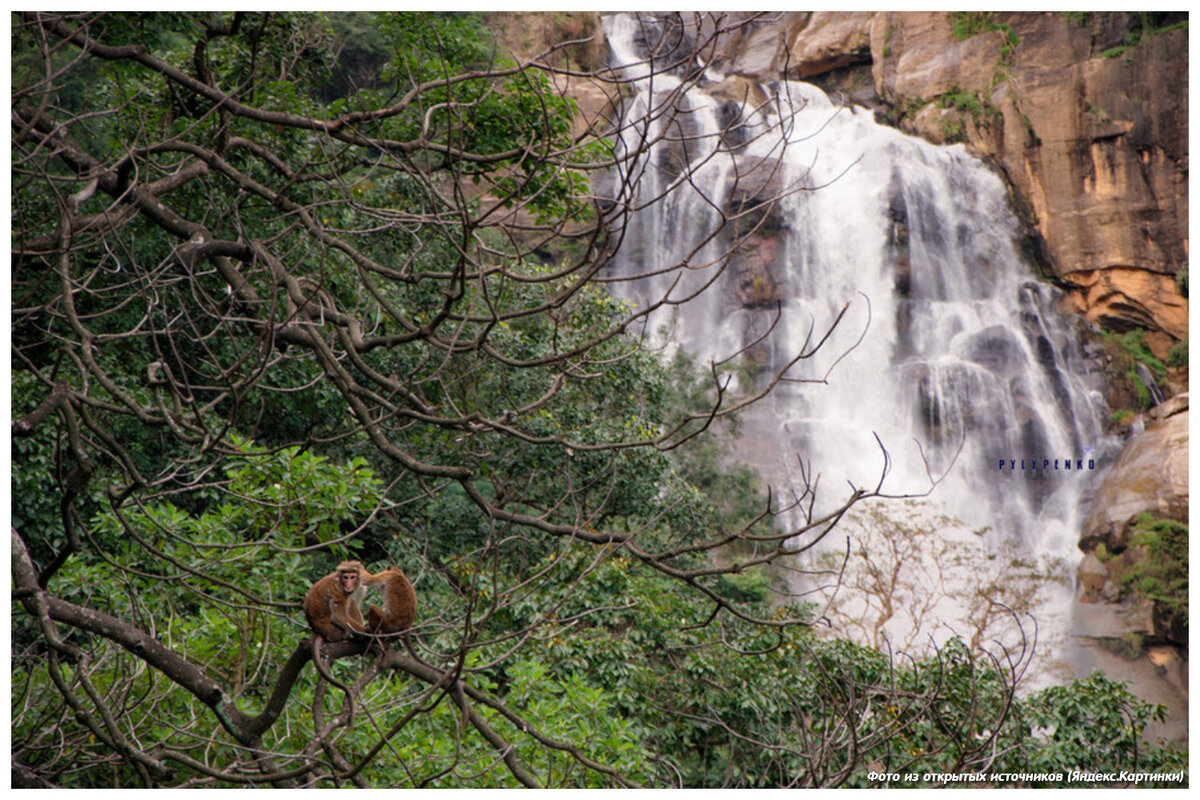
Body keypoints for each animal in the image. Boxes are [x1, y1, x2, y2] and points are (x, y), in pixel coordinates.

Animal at [302, 563, 367, 724]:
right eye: (346, 577)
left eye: (352, 576)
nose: (349, 584)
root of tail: (315, 630)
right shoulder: (338, 592)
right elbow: (338, 616)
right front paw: (369, 632)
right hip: (333, 630)